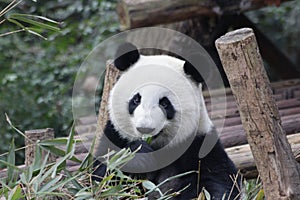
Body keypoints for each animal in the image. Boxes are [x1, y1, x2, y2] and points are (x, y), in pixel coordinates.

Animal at [94, 42, 241, 198]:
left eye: (164, 103)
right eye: (136, 100)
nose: (145, 129)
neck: (159, 147)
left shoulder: (200, 144)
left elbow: (220, 181)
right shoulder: (114, 136)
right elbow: (101, 179)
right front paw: (138, 155)